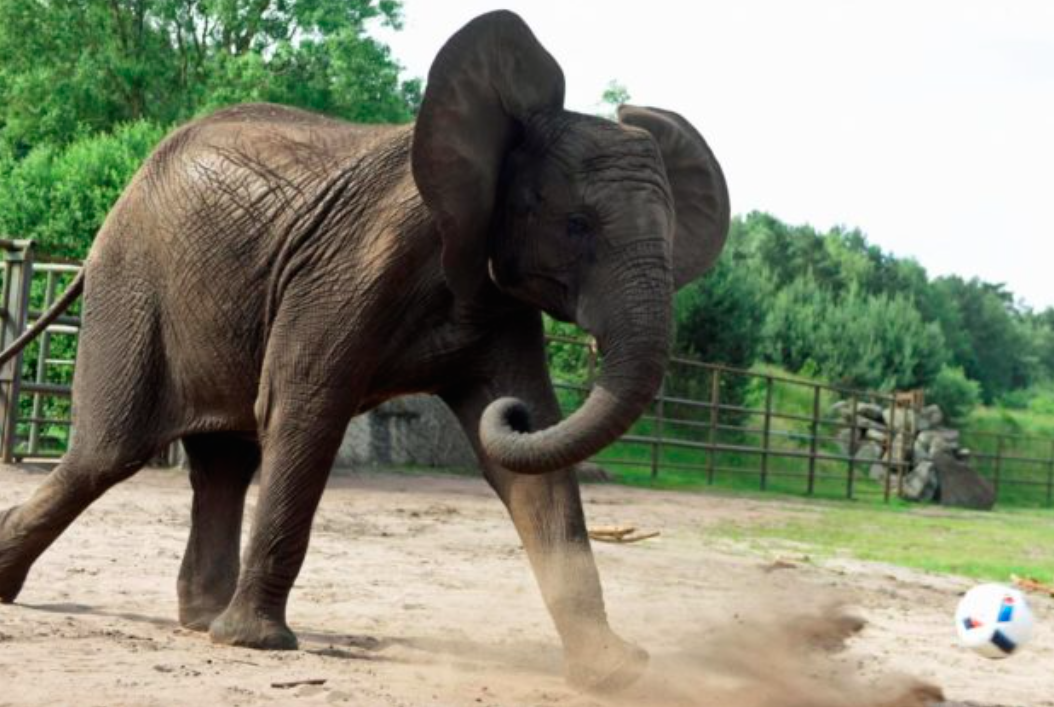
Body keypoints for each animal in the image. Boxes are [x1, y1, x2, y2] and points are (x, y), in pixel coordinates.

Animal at [0, 10, 728, 691]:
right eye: (577, 225)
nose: (514, 415)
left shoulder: (496, 294)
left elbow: (529, 462)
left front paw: (613, 669)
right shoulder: (354, 267)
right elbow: (304, 409)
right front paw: (257, 645)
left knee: (223, 464)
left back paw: (203, 620)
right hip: (134, 285)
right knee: (106, 455)